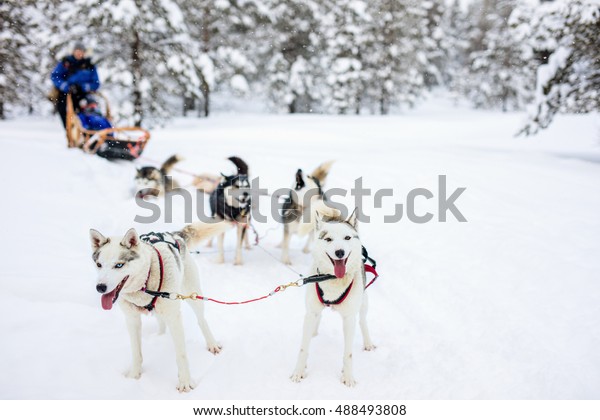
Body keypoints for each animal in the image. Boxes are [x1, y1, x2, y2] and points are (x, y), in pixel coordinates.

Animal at [89, 221, 230, 392]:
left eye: (119, 265)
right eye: (99, 264)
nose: (100, 287)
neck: (144, 283)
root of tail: (175, 234)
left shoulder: (174, 317)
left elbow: (181, 354)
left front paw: (185, 382)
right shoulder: (132, 320)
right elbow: (136, 352)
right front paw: (134, 376)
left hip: (192, 294)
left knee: (201, 320)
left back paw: (212, 344)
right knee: (161, 320)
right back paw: (160, 335)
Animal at [290, 210, 376, 388]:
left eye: (347, 238)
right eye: (328, 239)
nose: (340, 252)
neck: (333, 279)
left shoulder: (349, 319)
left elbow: (348, 353)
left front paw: (348, 376)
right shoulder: (310, 313)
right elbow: (303, 348)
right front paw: (299, 372)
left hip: (363, 301)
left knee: (362, 321)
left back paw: (368, 342)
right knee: (318, 317)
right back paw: (314, 332)